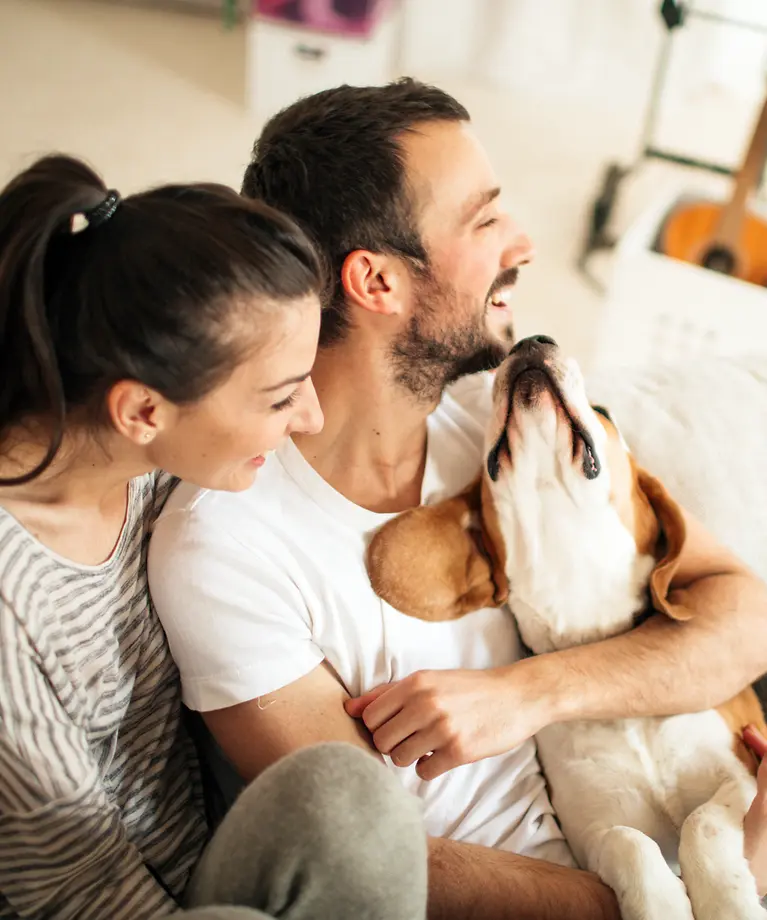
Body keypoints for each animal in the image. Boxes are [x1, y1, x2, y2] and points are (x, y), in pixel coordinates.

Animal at [366, 336, 767, 920]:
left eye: (604, 411)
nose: (532, 341)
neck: (595, 644)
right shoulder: (594, 831)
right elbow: (632, 844)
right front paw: (662, 903)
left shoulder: (741, 773)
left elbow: (703, 823)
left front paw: (726, 900)